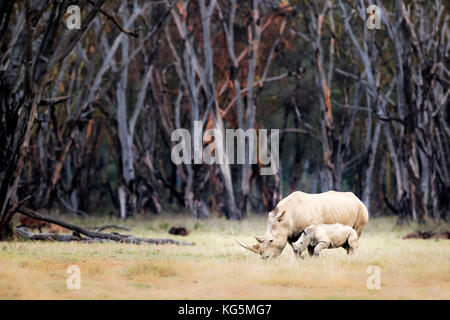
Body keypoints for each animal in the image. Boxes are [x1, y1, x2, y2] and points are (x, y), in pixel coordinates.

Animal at [232, 191, 370, 258]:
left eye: (271, 240)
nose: (265, 258)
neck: (286, 219)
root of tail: (357, 198)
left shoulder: (311, 229)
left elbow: (310, 248)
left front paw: (311, 259)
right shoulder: (289, 233)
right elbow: (295, 247)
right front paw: (298, 260)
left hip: (361, 209)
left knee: (356, 234)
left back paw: (350, 257)